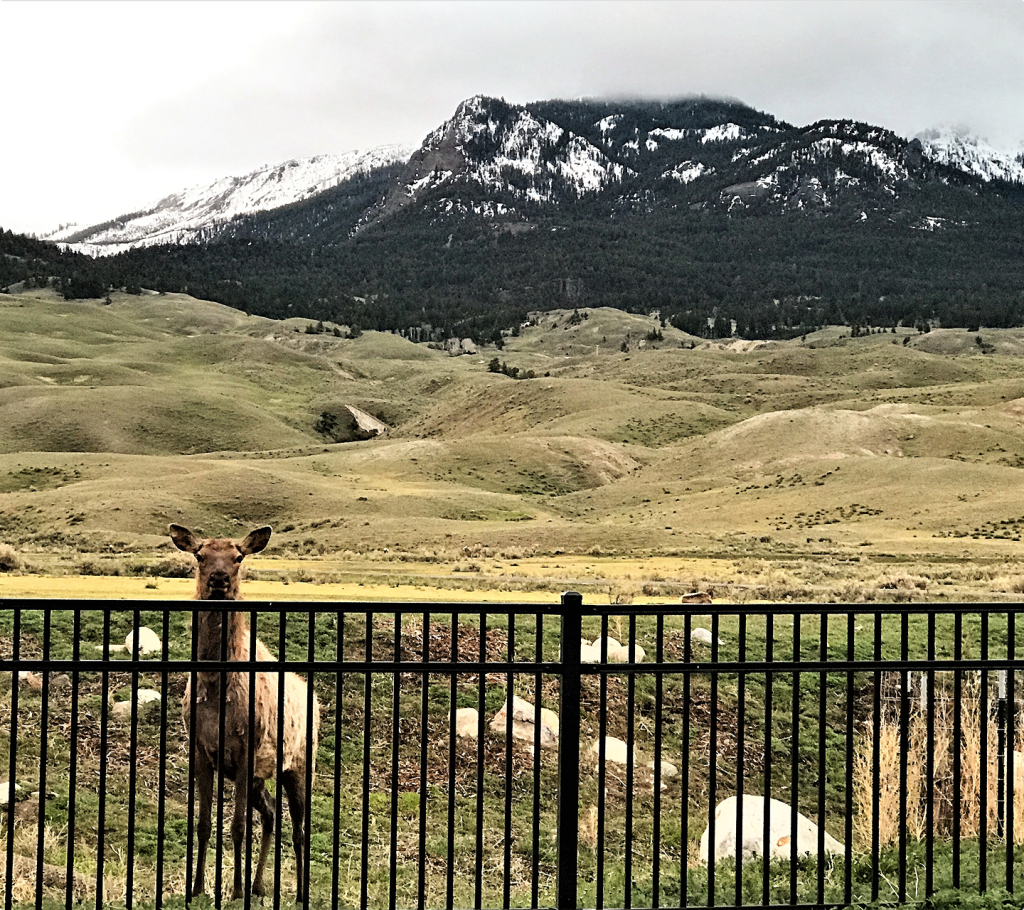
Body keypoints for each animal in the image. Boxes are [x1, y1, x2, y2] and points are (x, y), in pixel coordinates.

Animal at [170, 523, 320, 903]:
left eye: (238, 557)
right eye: (200, 555)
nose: (219, 579)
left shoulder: (244, 751)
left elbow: (237, 826)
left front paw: (234, 890)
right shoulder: (201, 750)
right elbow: (203, 824)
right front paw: (197, 888)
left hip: (299, 763)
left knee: (299, 827)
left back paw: (297, 893)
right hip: (258, 779)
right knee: (270, 811)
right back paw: (258, 885)